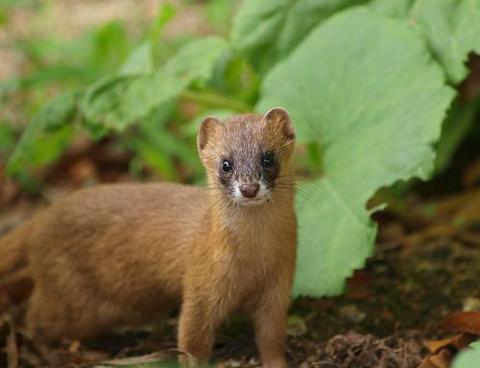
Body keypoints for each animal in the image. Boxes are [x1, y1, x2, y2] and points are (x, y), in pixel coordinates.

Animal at [0, 108, 296, 366]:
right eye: (226, 163)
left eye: (268, 158)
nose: (249, 187)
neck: (254, 259)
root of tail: (43, 217)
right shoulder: (202, 283)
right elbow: (192, 338)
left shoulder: (279, 282)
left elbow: (271, 336)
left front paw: (277, 363)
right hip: (75, 300)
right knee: (34, 319)